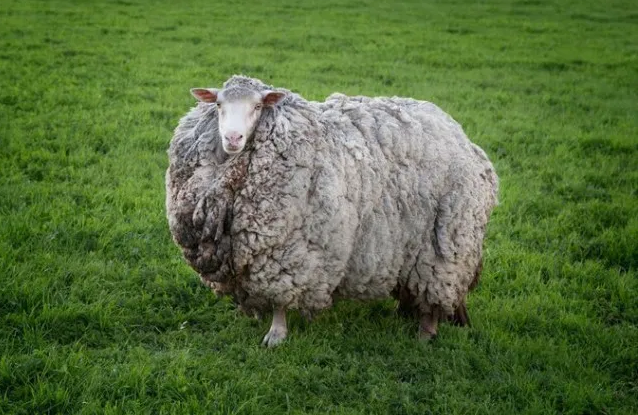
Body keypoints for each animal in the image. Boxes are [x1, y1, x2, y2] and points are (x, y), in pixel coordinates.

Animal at [165, 75, 500, 348]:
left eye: (258, 106)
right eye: (218, 104)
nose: (233, 138)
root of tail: (460, 135)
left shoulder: (290, 253)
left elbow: (280, 300)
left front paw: (276, 334)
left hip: (445, 246)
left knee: (436, 291)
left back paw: (425, 334)